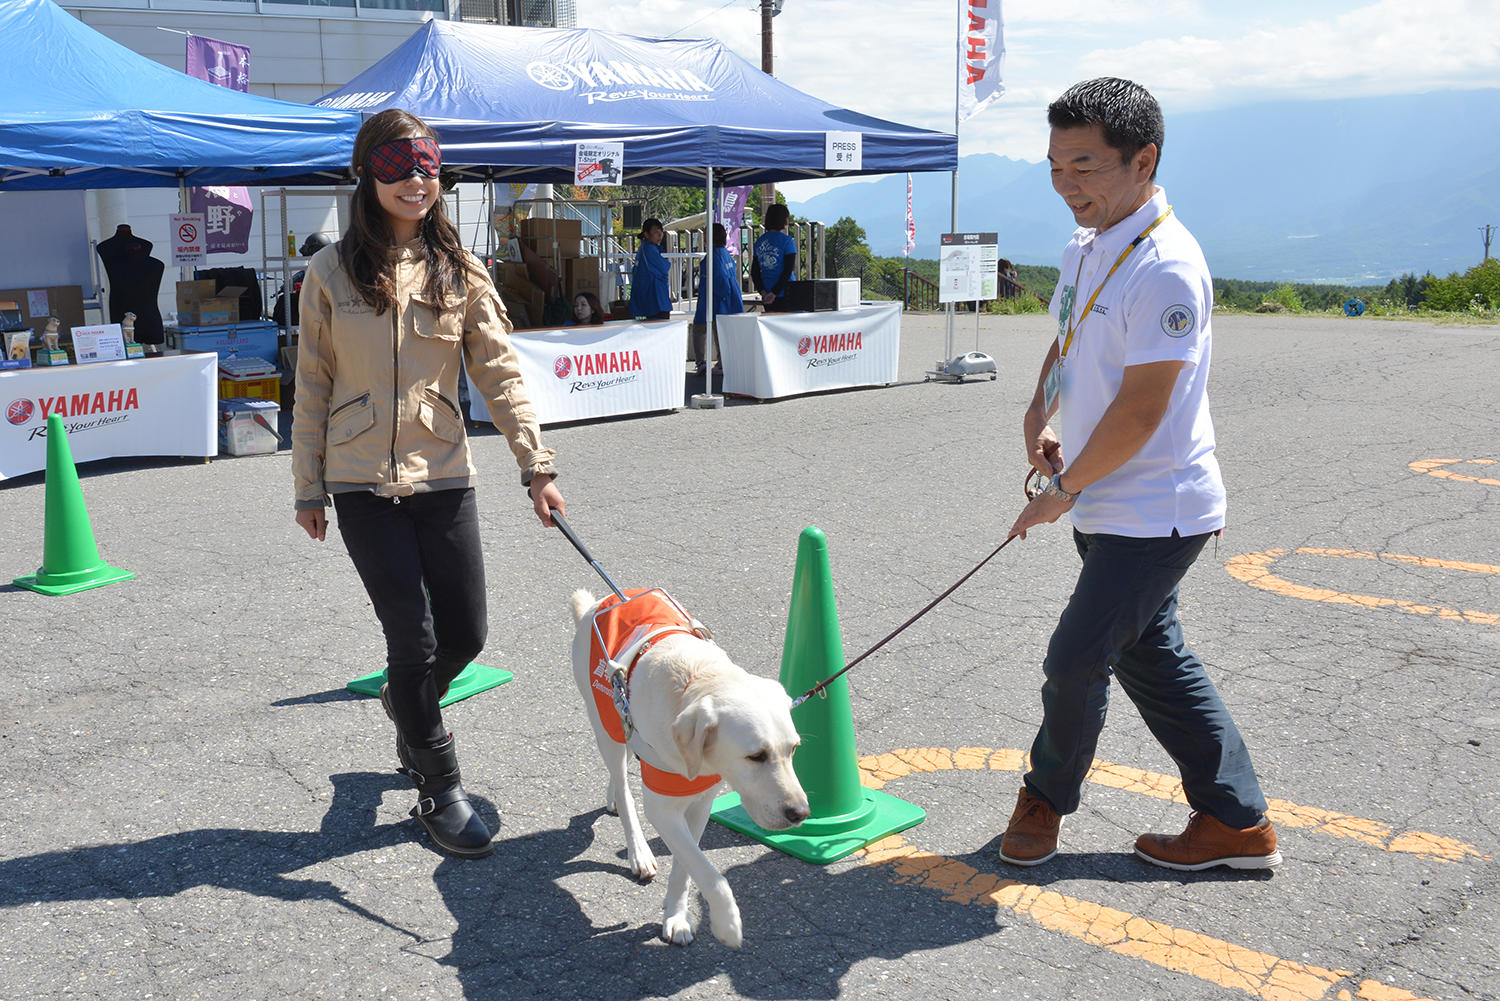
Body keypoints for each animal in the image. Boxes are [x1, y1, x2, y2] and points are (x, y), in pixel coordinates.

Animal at [570, 588, 810, 948]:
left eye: (793, 749)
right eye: (756, 756)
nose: (801, 813)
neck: (697, 679)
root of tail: (599, 602)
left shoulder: (701, 803)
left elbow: (686, 868)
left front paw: (677, 917)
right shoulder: (662, 808)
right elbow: (710, 875)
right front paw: (727, 924)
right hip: (604, 721)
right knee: (623, 784)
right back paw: (638, 850)